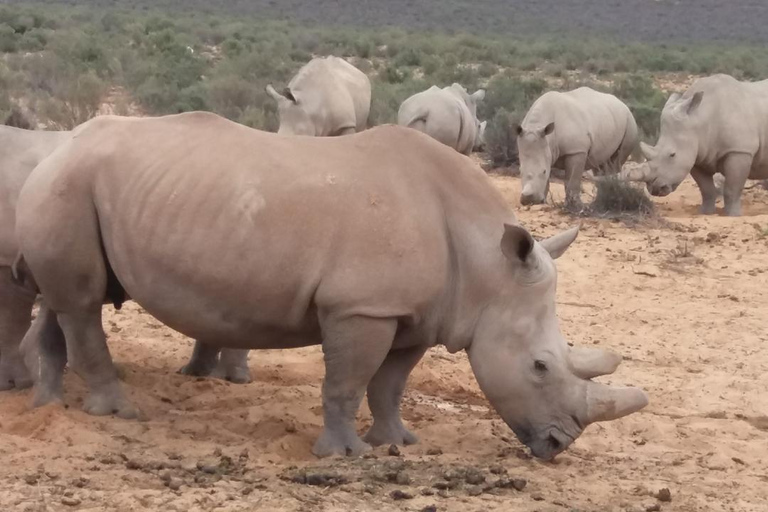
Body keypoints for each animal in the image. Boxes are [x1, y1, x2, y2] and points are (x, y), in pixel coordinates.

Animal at [640, 74, 768, 216]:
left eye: (672, 155)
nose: (655, 189)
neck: (701, 118)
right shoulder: (697, 155)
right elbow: (706, 189)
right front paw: (705, 213)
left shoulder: (739, 150)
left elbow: (732, 189)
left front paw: (733, 215)